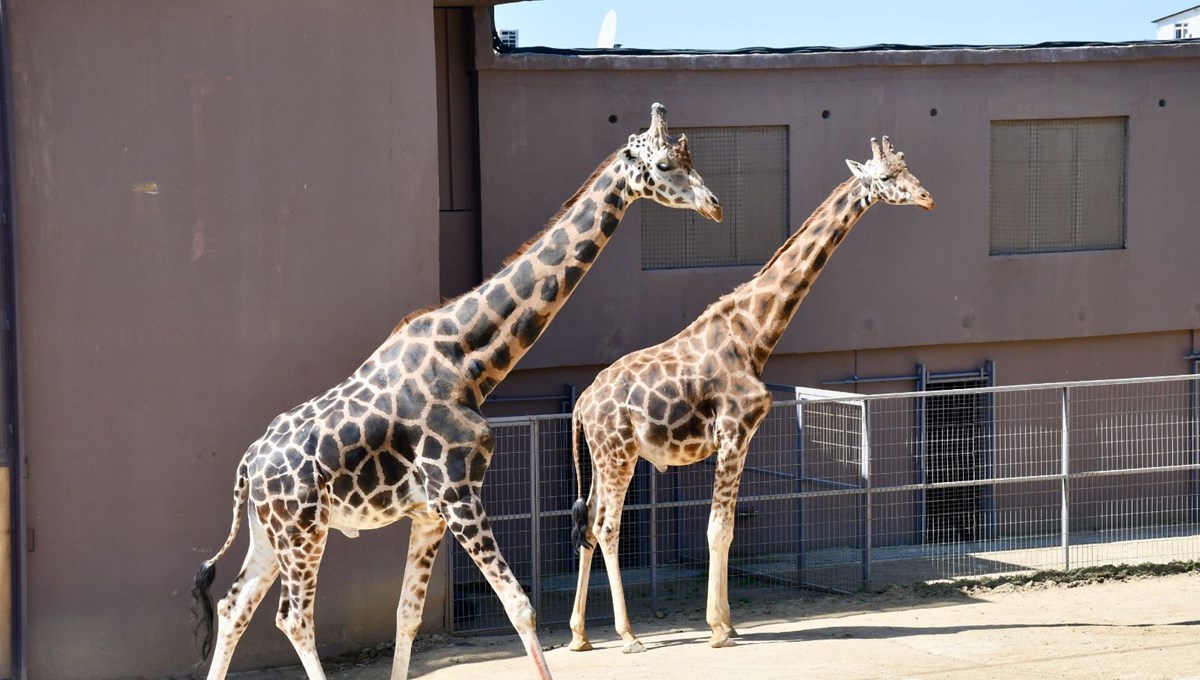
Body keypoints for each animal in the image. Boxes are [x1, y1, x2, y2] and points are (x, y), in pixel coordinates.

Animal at [189, 102, 720, 680]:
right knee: (293, 618)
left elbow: (408, 616)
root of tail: (248, 466)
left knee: (233, 605)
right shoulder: (459, 493)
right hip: (302, 529)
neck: (468, 361)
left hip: (270, 532)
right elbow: (519, 606)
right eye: (665, 165)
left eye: (691, 158)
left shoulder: (428, 513)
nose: (714, 206)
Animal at [566, 134, 931, 652]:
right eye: (884, 177)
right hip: (619, 454)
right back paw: (628, 634)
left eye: (908, 169)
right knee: (607, 526)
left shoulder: (740, 438)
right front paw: (719, 629)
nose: (927, 198)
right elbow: (719, 530)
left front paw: (729, 622)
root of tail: (581, 404)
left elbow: (729, 530)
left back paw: (580, 635)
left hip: (604, 455)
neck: (754, 334)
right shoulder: (734, 432)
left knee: (588, 525)